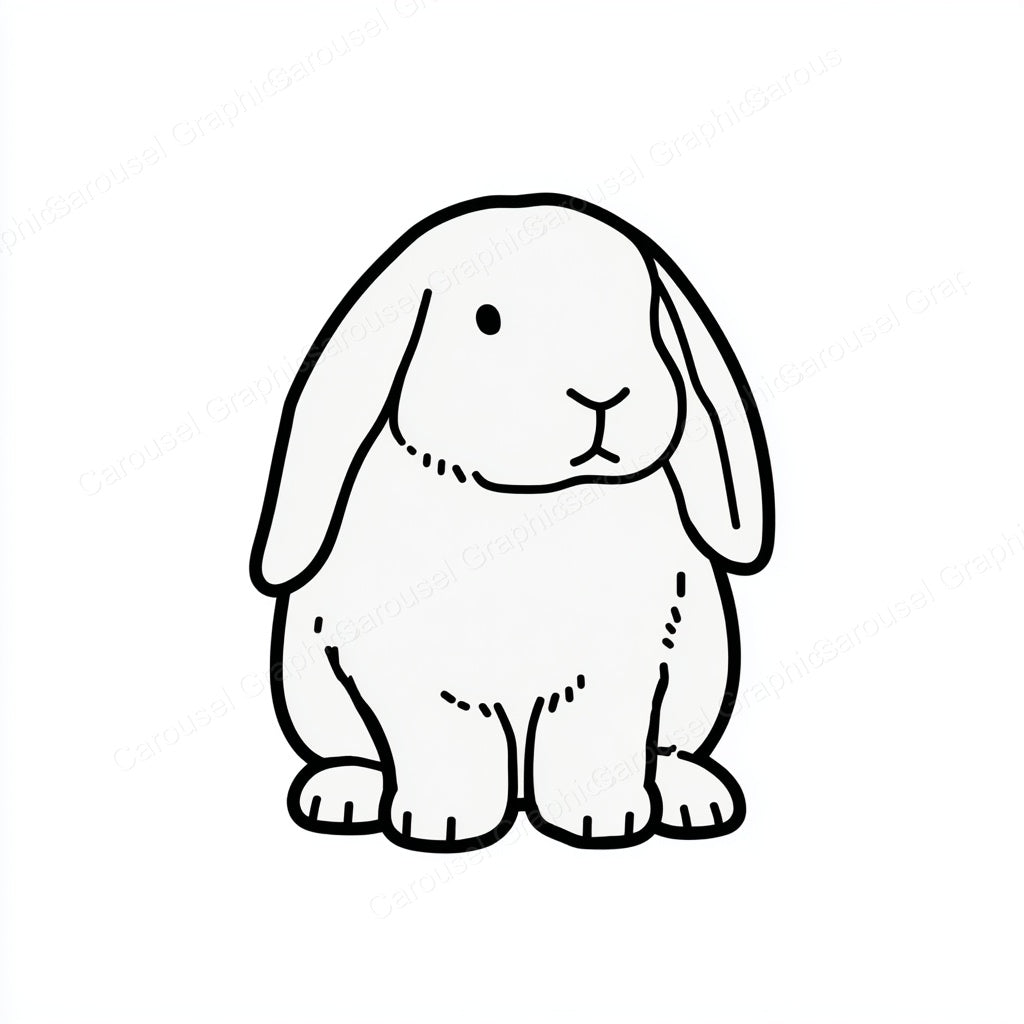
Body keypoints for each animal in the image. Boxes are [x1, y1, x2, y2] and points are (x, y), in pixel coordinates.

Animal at [250, 193, 774, 851]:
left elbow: (596, 734)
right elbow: (439, 736)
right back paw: (343, 795)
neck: (526, 503)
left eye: (651, 317)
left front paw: (601, 822)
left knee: (672, 747)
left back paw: (691, 800)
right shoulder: (412, 678)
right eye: (487, 319)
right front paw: (443, 824)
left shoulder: (619, 667)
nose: (604, 395)